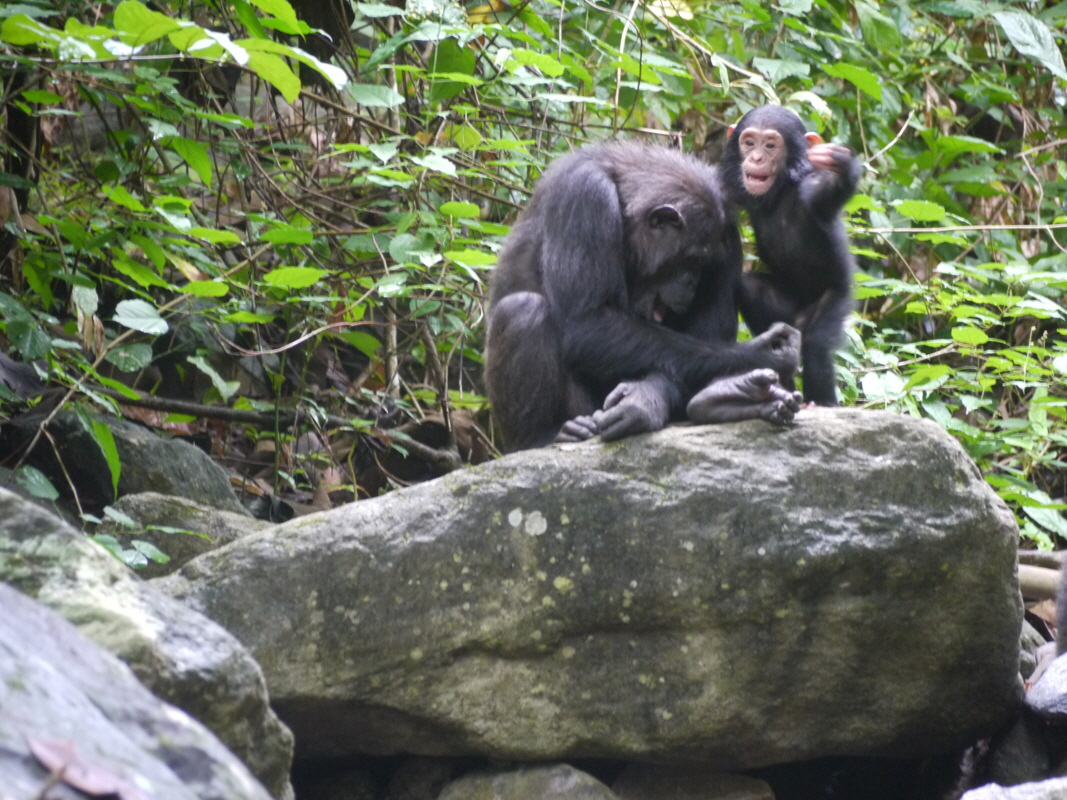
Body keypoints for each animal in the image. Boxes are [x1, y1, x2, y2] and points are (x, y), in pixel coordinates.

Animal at [484, 141, 802, 454]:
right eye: (692, 258)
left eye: (705, 263)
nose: (691, 282)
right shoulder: (584, 196)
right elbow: (585, 321)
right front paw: (763, 353)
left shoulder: (729, 235)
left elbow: (705, 334)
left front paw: (644, 400)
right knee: (523, 311)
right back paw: (542, 436)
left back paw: (731, 399)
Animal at [717, 105, 857, 407]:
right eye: (749, 142)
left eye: (770, 145)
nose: (757, 157)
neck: (780, 191)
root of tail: (800, 315)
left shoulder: (814, 193)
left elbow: (833, 187)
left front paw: (841, 165)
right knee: (752, 288)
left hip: (834, 300)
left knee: (816, 344)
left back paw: (819, 402)